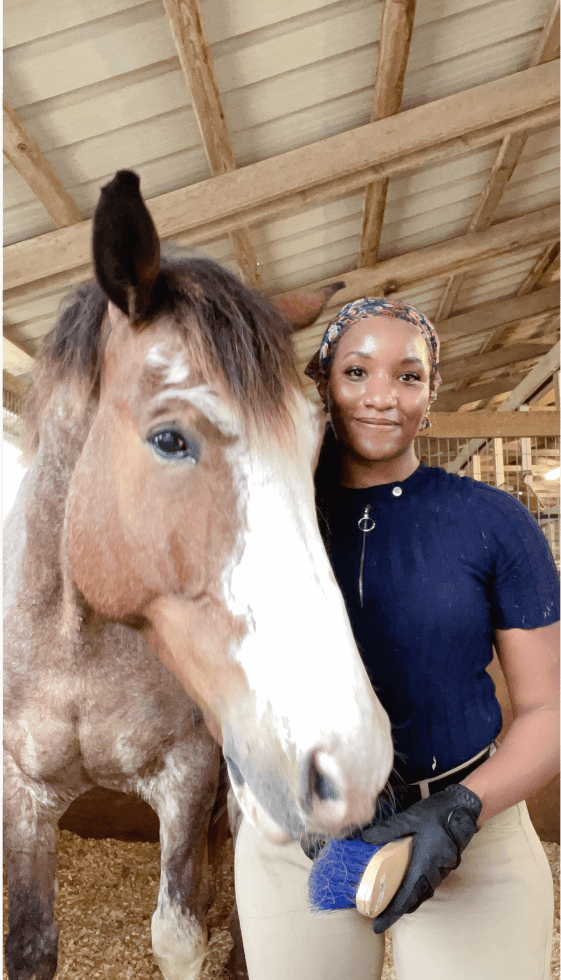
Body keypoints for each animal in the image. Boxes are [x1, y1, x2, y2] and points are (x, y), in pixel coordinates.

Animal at [2, 172, 392, 980]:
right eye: (170, 440)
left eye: (315, 442)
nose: (357, 757)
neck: (77, 646)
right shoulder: (22, 790)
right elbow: (30, 945)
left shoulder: (185, 777)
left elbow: (180, 933)